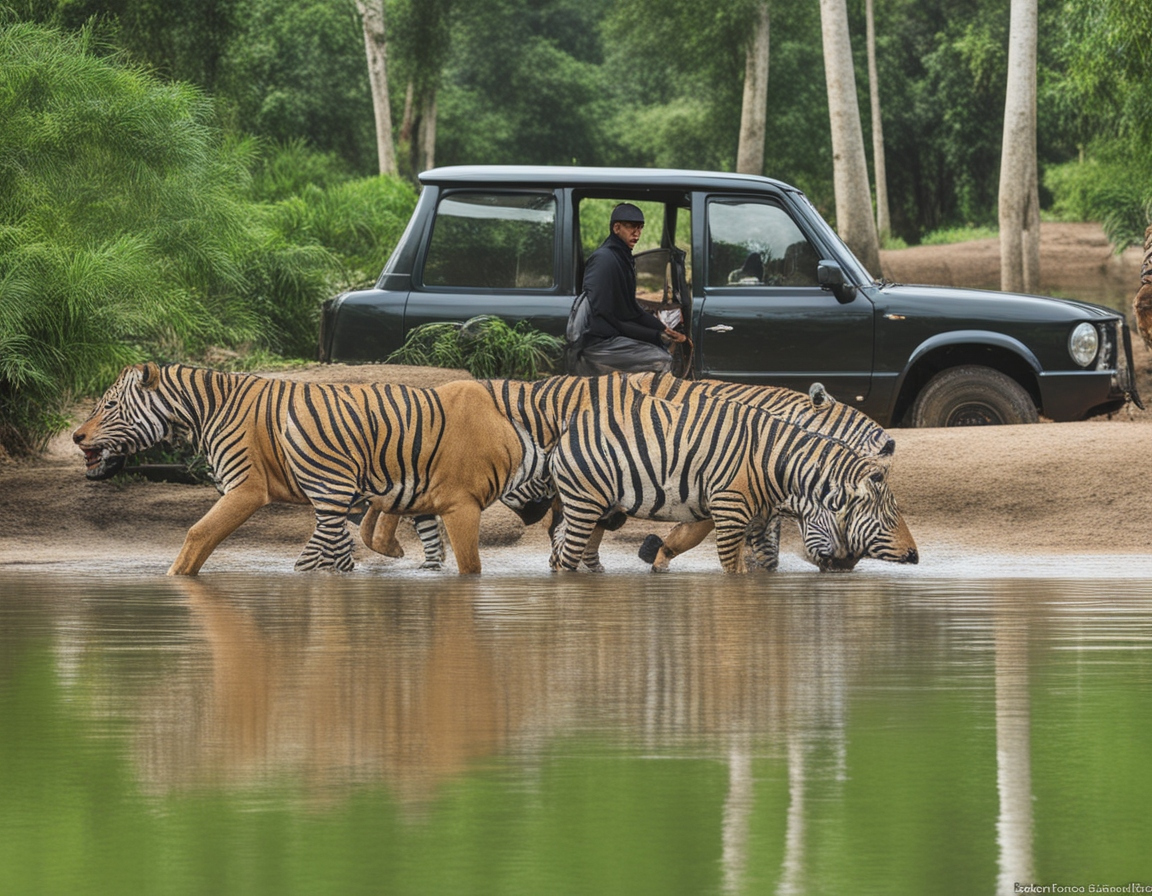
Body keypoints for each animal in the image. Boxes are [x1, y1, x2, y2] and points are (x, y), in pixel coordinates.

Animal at [72, 361, 548, 573]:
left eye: (109, 405)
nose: (76, 436)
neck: (205, 411)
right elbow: (339, 553)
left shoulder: (246, 488)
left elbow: (198, 534)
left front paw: (174, 579)